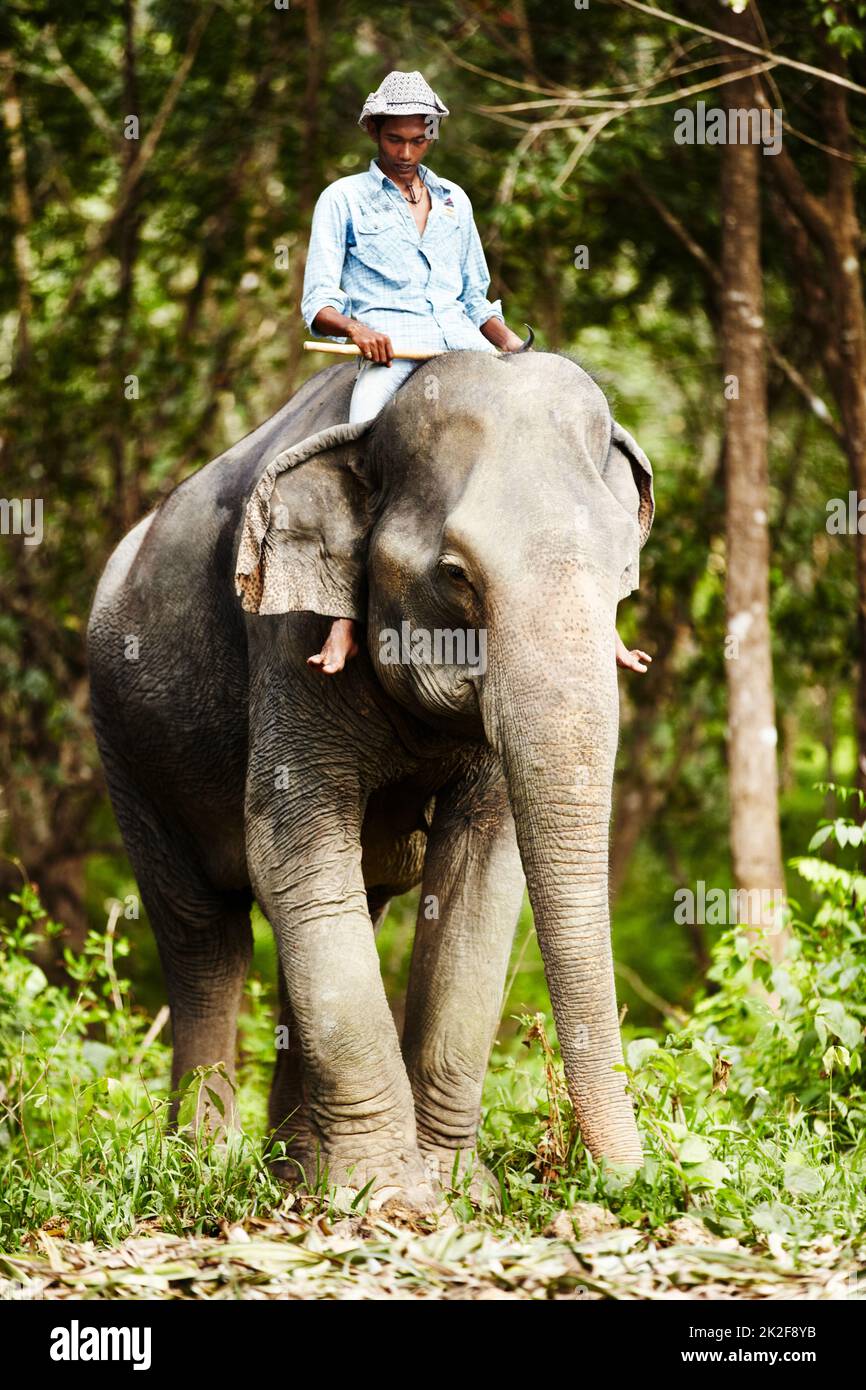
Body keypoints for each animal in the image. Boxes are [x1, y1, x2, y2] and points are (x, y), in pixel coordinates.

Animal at [87, 348, 654, 1211]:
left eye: (623, 572)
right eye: (455, 574)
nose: (632, 1182)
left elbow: (477, 881)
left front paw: (455, 1190)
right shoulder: (289, 637)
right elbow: (292, 846)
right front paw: (389, 1198)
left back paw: (292, 1172)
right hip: (126, 747)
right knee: (205, 939)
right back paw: (207, 1166)